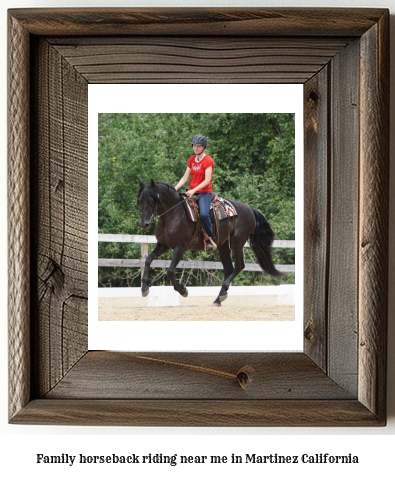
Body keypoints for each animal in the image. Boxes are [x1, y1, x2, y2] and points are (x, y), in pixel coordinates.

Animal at [137, 179, 284, 306]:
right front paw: (145, 287)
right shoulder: (163, 245)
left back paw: (222, 293)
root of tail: (250, 210)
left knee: (239, 266)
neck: (173, 214)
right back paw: (219, 298)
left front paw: (183, 291)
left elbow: (171, 271)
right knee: (229, 269)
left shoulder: (180, 247)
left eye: (151, 199)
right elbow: (148, 260)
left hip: (237, 243)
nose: (145, 224)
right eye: (140, 201)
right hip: (223, 247)